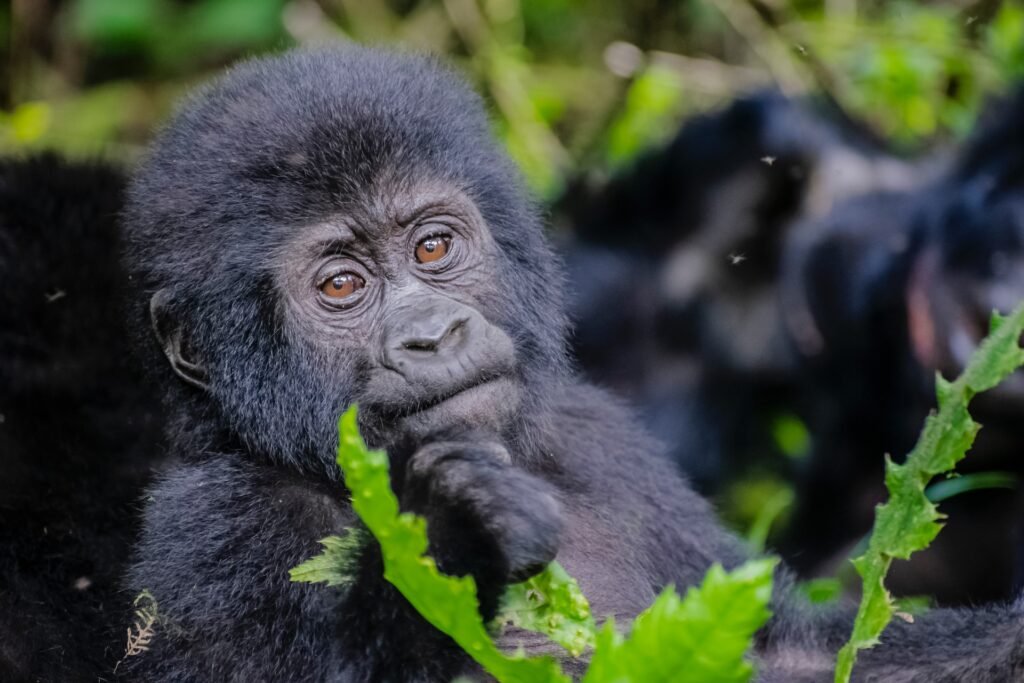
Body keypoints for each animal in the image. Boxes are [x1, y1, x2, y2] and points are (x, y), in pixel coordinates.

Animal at [121, 46, 1024, 679]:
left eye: (434, 246)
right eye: (342, 285)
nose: (431, 335)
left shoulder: (608, 445)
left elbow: (803, 651)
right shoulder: (220, 526)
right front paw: (451, 531)